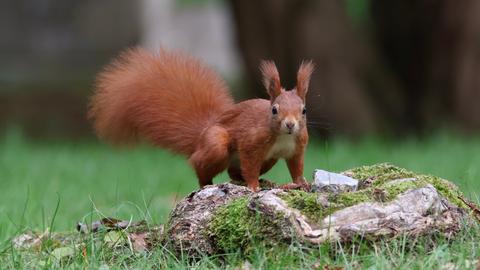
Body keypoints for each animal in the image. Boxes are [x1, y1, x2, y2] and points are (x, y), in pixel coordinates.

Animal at [89, 48, 316, 192]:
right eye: (274, 110)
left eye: (304, 110)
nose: (290, 124)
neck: (283, 137)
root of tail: (200, 136)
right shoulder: (252, 142)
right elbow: (250, 165)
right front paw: (253, 187)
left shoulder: (297, 147)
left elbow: (296, 167)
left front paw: (301, 183)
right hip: (215, 144)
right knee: (201, 165)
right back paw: (208, 183)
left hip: (269, 160)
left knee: (234, 172)